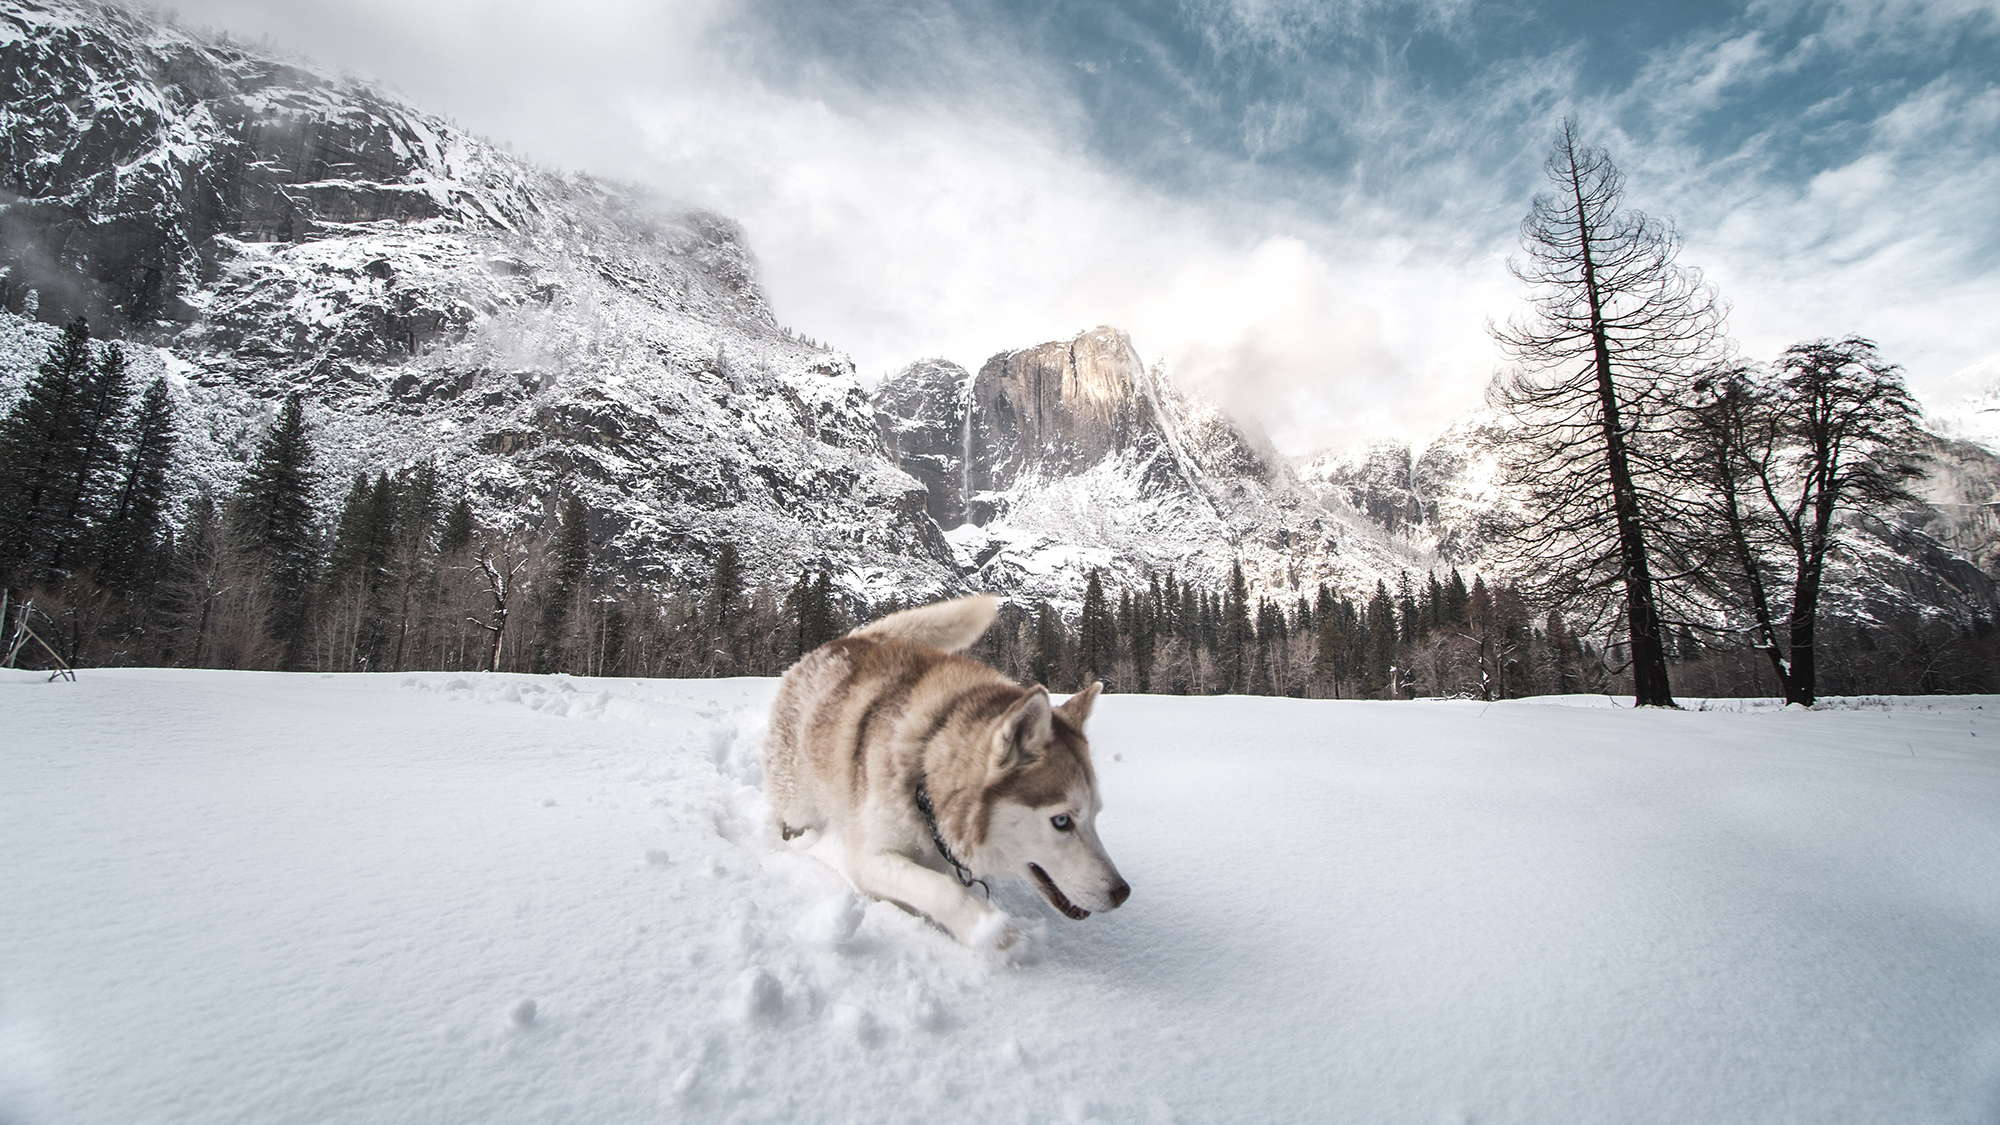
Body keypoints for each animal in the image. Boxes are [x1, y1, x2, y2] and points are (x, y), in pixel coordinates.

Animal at [764, 592, 1136, 940]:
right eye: (1061, 821)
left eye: (1095, 815)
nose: (1122, 892)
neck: (925, 768)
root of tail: (846, 640)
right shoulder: (869, 856)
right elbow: (946, 892)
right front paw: (994, 933)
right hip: (799, 804)